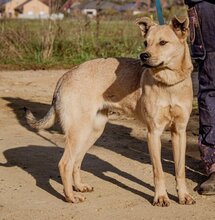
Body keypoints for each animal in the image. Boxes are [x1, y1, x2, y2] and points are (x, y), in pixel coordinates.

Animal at [24, 16, 195, 206]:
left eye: (163, 42)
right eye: (145, 42)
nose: (143, 56)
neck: (169, 84)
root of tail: (64, 76)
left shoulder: (179, 132)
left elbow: (180, 170)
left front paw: (184, 195)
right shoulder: (154, 132)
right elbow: (158, 172)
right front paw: (161, 197)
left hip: (93, 131)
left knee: (76, 161)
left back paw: (79, 187)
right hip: (79, 131)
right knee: (65, 163)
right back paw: (70, 197)